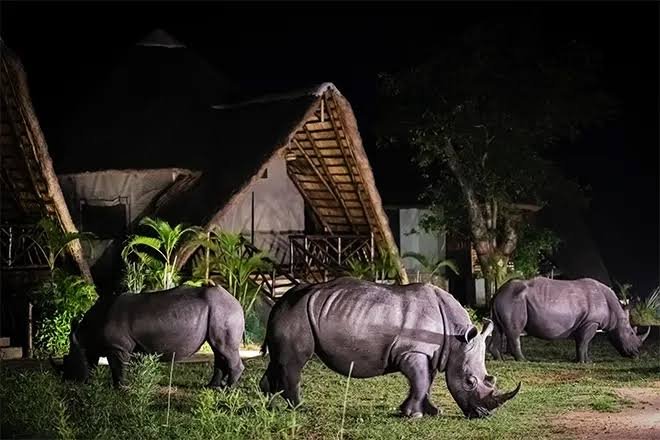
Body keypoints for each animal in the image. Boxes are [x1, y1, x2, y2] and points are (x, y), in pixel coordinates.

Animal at [50, 285, 245, 388]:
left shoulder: (117, 347)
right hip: (220, 312)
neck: (85, 336)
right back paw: (211, 387)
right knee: (218, 350)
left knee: (224, 349)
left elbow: (117, 367)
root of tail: (237, 302)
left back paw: (228, 390)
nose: (66, 382)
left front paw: (120, 389)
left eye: (67, 361)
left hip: (225, 311)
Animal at [259, 277, 520, 419]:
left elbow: (427, 381)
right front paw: (413, 415)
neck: (456, 339)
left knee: (279, 360)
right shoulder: (412, 352)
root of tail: (280, 301)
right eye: (469, 381)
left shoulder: (431, 353)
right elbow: (421, 381)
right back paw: (299, 408)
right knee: (294, 362)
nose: (483, 415)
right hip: (297, 312)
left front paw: (431, 411)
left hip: (293, 310)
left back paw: (269, 404)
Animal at [488, 277, 650, 363]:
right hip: (514, 300)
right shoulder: (591, 322)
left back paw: (499, 359)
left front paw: (583, 361)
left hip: (506, 299)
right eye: (631, 333)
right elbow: (585, 342)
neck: (616, 313)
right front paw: (585, 363)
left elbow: (580, 342)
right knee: (514, 331)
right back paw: (523, 360)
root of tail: (498, 292)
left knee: (497, 328)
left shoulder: (583, 323)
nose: (636, 355)